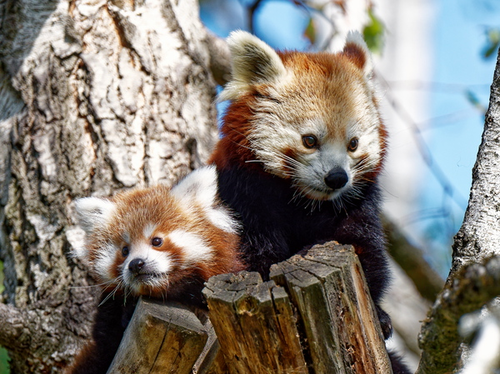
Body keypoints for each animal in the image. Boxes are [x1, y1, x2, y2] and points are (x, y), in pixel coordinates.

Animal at [211, 31, 410, 374]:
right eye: (310, 141)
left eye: (353, 144)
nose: (337, 177)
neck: (305, 203)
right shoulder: (242, 197)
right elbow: (254, 257)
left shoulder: (358, 205)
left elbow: (366, 251)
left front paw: (380, 313)